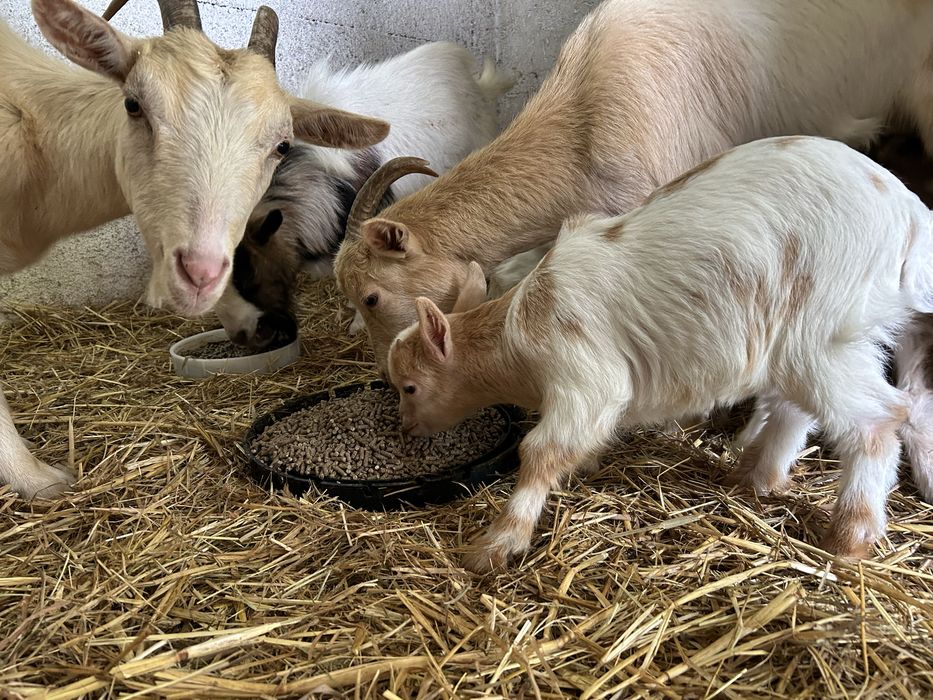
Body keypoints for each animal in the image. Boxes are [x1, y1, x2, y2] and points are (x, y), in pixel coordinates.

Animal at [387, 137, 933, 573]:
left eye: (410, 386)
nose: (406, 429)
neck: (523, 319)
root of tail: (909, 212)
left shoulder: (584, 373)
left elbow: (542, 450)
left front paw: (497, 543)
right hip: (819, 340)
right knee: (797, 408)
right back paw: (757, 478)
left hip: (820, 330)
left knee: (879, 420)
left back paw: (848, 538)